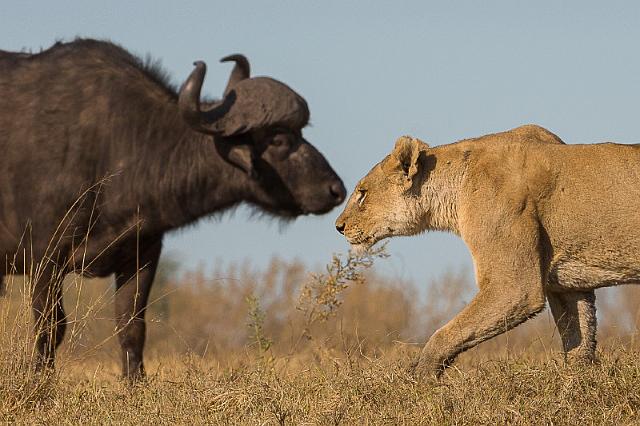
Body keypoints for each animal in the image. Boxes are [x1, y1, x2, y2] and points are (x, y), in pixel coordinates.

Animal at [0, 40, 344, 378]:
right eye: (279, 139)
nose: (336, 190)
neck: (116, 146)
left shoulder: (142, 255)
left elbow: (131, 326)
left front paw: (135, 383)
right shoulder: (45, 258)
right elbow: (50, 327)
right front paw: (40, 382)